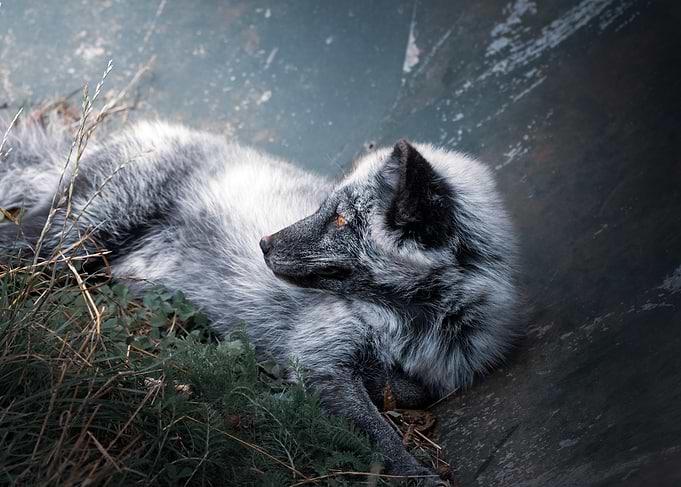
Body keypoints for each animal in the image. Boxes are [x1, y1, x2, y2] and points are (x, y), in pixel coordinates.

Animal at [0, 113, 519, 485]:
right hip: (68, 244)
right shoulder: (318, 362)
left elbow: (413, 391)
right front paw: (417, 475)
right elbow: (385, 439)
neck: (412, 324)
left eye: (341, 219)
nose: (264, 244)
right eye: (324, 208)